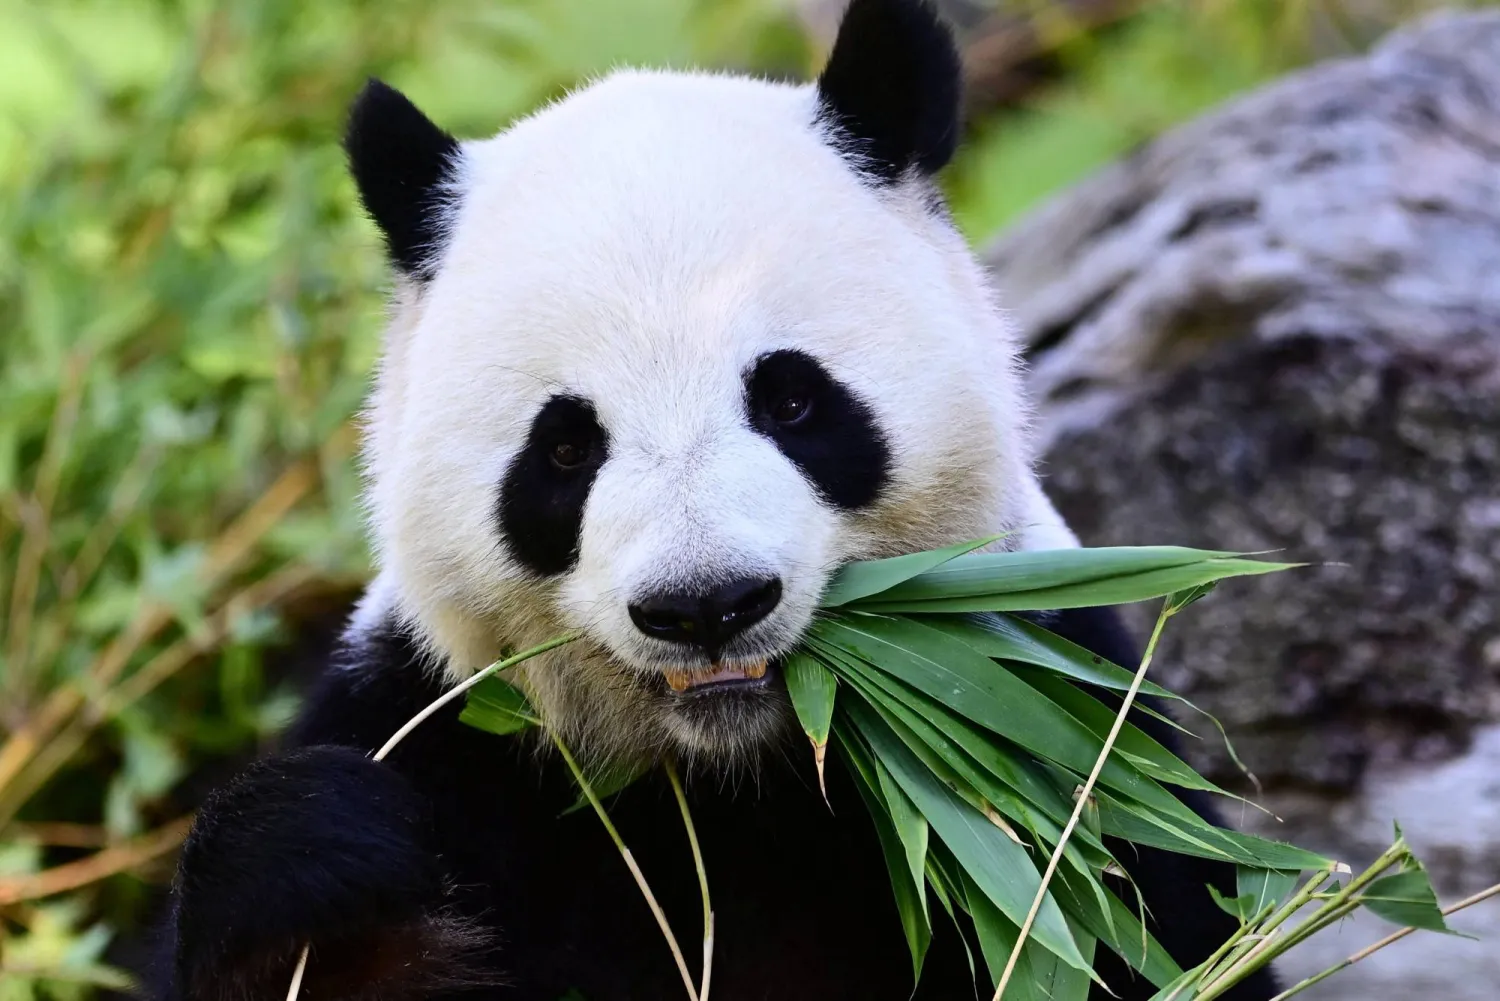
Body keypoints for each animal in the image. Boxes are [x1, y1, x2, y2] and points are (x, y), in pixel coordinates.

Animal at [150, 1, 1276, 999]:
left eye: (791, 399)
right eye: (565, 448)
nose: (705, 605)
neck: (733, 776)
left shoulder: (1058, 730)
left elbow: (1143, 930)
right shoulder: (451, 728)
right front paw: (320, 864)